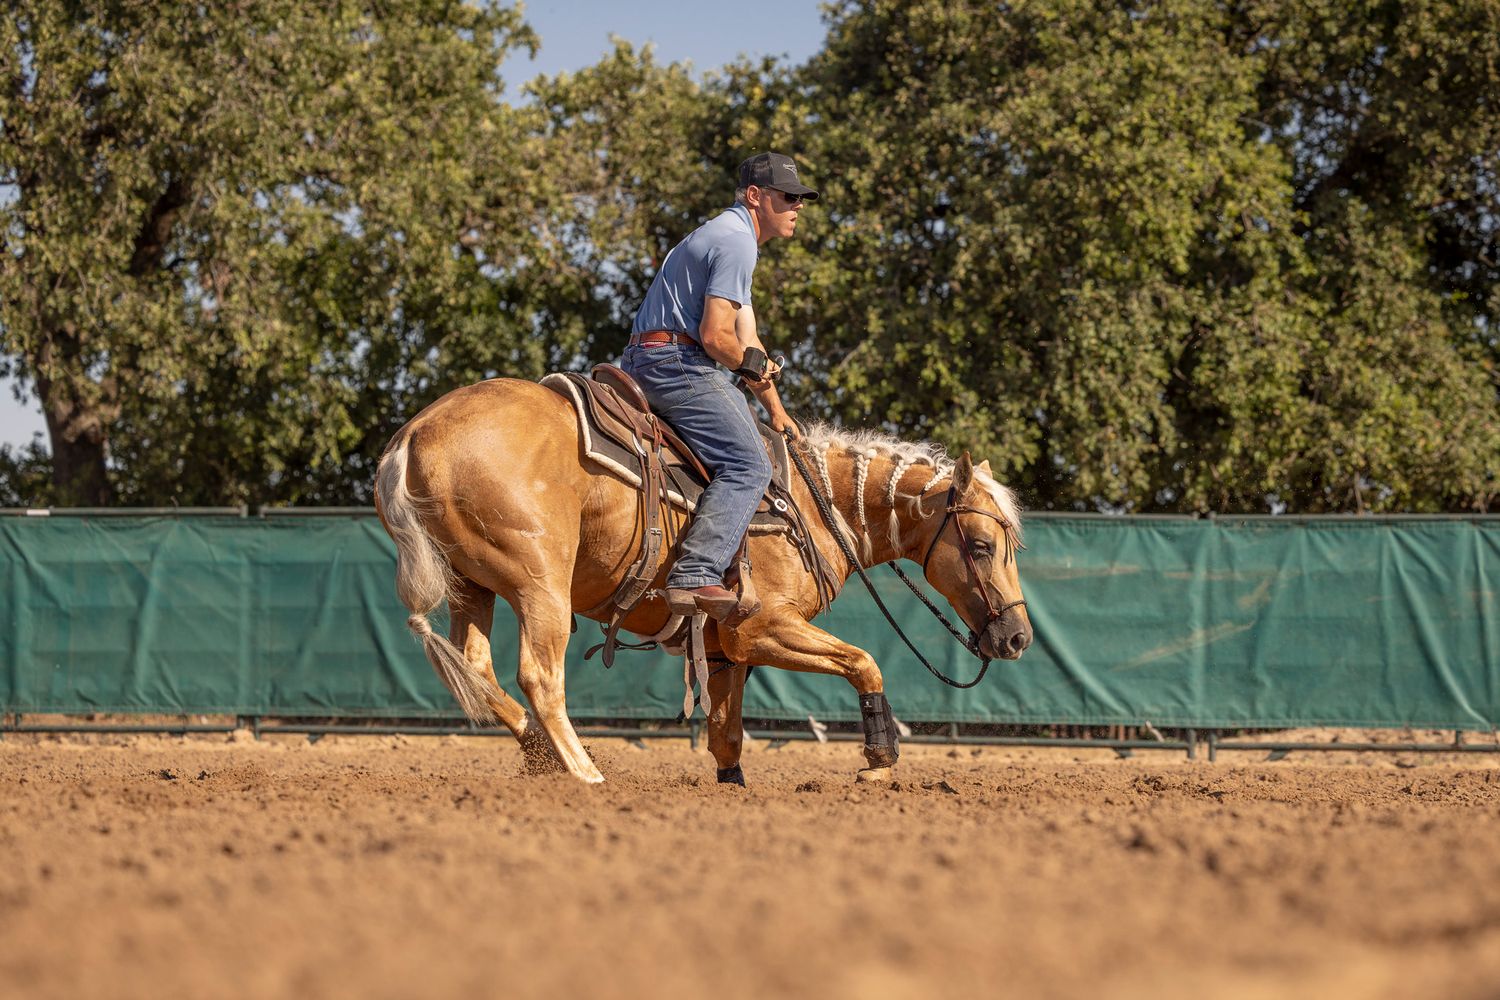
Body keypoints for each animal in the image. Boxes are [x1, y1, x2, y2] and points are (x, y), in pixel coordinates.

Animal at [373, 377, 1032, 784]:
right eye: (980, 545)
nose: (1018, 638)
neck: (811, 503)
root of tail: (414, 435)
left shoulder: (723, 650)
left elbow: (727, 731)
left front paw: (731, 784)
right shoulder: (760, 627)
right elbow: (863, 662)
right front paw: (878, 759)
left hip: (473, 585)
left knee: (477, 667)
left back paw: (540, 755)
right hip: (541, 586)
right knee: (539, 676)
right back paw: (584, 771)